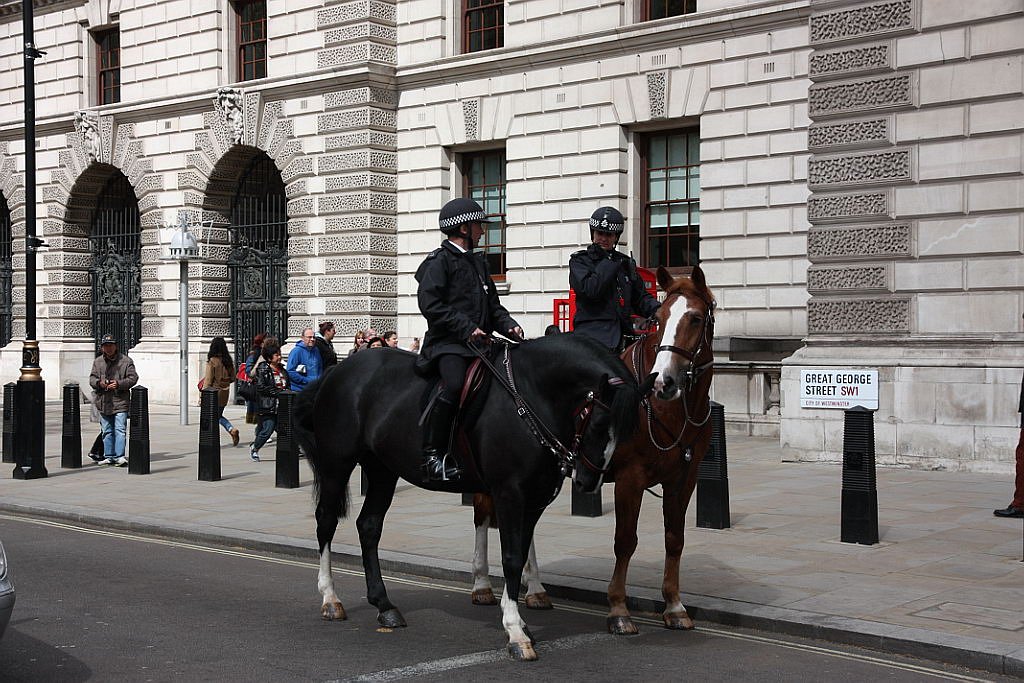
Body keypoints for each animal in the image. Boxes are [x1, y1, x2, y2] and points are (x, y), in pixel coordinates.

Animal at [292, 333, 643, 659]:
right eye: (598, 422)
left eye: (629, 429)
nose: (588, 481)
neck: (529, 397)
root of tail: (335, 371)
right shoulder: (509, 492)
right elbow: (512, 558)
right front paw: (515, 631)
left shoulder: (534, 498)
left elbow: (521, 552)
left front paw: (519, 619)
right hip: (337, 464)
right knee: (326, 521)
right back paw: (330, 598)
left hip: (381, 469)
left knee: (369, 526)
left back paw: (384, 605)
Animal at [468, 266, 716, 634]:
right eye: (659, 319)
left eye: (696, 318)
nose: (664, 382)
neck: (670, 410)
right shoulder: (631, 477)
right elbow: (625, 541)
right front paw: (618, 608)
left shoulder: (684, 477)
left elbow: (675, 538)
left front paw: (674, 605)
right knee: (483, 512)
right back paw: (482, 583)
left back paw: (535, 588)